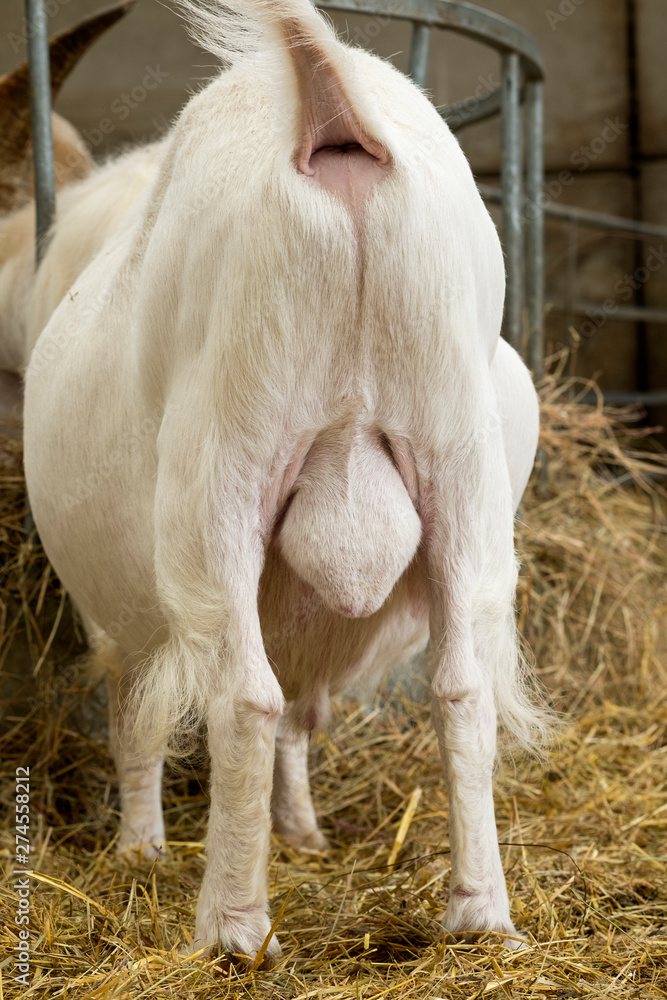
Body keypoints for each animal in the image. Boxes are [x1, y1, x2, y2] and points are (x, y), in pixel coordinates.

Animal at [22, 0, 552, 960]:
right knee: (458, 687)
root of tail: (326, 107)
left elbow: (138, 718)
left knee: (242, 696)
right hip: (458, 459)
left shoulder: (115, 614)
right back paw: (478, 914)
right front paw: (297, 830)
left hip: (221, 467)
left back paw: (229, 930)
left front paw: (140, 850)